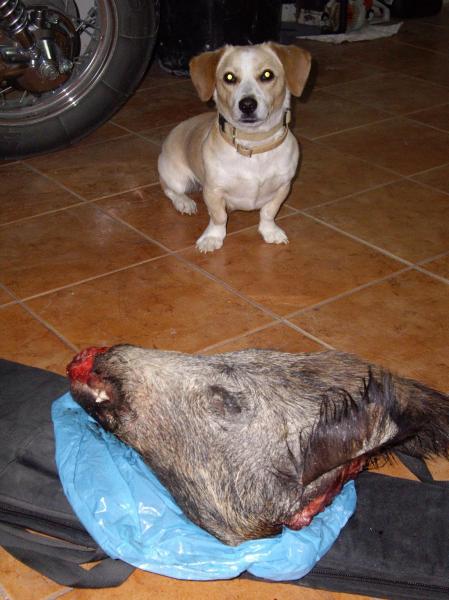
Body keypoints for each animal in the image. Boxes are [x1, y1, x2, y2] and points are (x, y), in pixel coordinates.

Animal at [157, 43, 311, 252]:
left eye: (267, 75)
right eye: (229, 77)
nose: (247, 105)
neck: (253, 143)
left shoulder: (283, 187)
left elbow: (268, 212)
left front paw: (270, 231)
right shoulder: (213, 191)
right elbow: (218, 217)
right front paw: (212, 237)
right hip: (176, 178)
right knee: (170, 190)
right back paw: (184, 202)